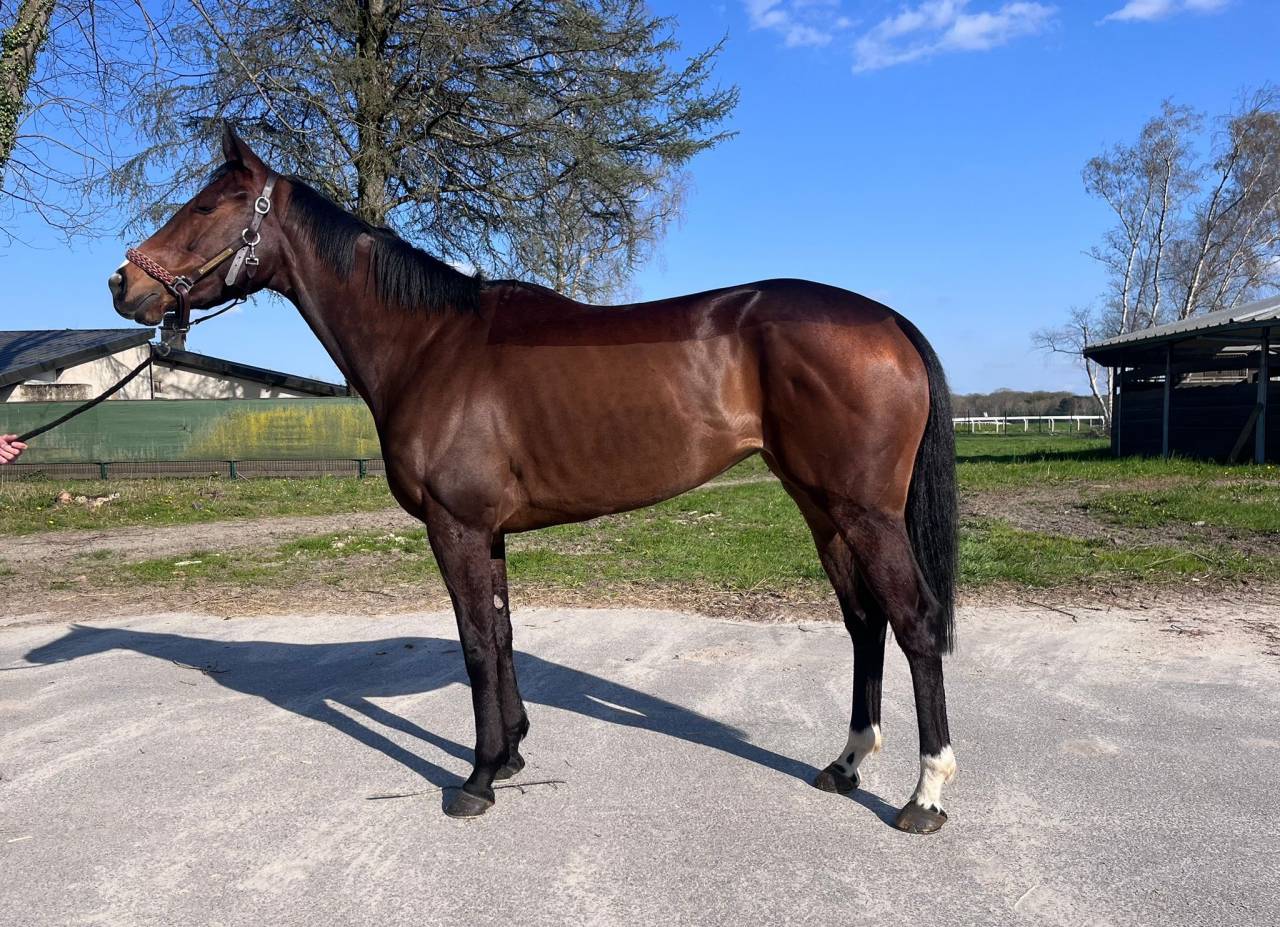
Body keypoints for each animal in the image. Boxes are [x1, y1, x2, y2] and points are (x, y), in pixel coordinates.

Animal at [108, 124, 960, 834]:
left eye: (207, 205)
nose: (122, 284)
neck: (431, 345)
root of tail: (886, 321)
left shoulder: (454, 527)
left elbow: (476, 645)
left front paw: (478, 777)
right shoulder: (489, 532)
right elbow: (505, 633)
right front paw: (513, 750)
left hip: (863, 511)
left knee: (914, 622)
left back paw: (924, 796)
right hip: (819, 506)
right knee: (863, 621)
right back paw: (844, 765)